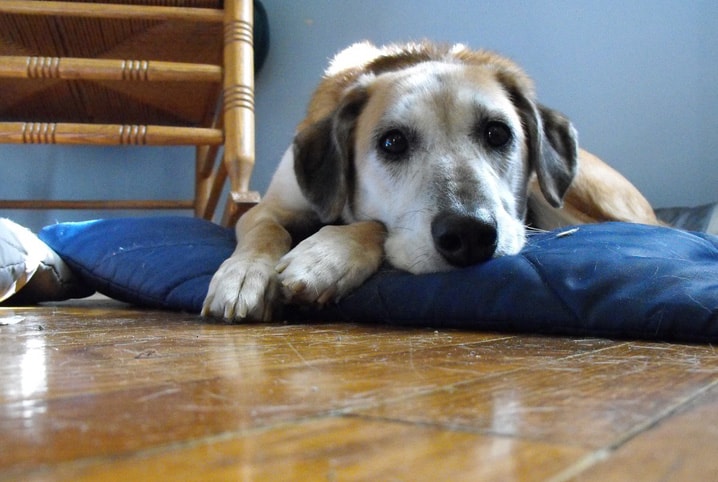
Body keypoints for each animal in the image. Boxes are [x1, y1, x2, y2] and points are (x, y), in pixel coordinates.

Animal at [202, 40, 664, 320]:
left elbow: (372, 225)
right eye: (391, 142)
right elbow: (264, 230)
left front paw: (325, 257)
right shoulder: (270, 206)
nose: (470, 234)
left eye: (498, 133)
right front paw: (244, 275)